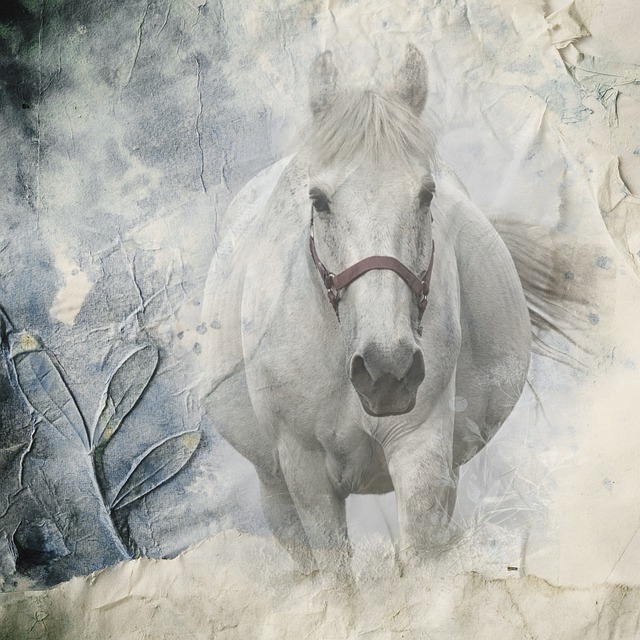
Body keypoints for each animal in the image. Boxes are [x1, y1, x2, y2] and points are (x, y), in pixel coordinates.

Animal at [200, 44, 532, 574]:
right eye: (319, 200)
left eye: (427, 194)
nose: (386, 370)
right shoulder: (306, 475)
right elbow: (338, 578)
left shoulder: (422, 451)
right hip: (274, 490)